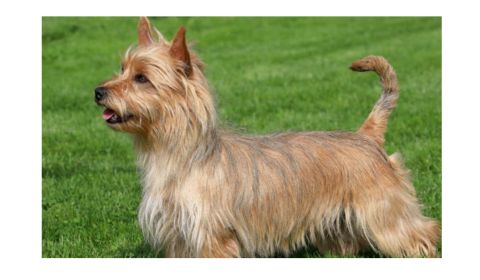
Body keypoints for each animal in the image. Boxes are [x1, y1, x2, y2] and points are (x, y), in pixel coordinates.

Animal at [94, 17, 438, 258]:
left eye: (142, 78)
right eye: (122, 69)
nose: (98, 91)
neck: (180, 156)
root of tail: (366, 135)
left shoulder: (213, 237)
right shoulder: (179, 239)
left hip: (384, 212)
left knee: (423, 232)